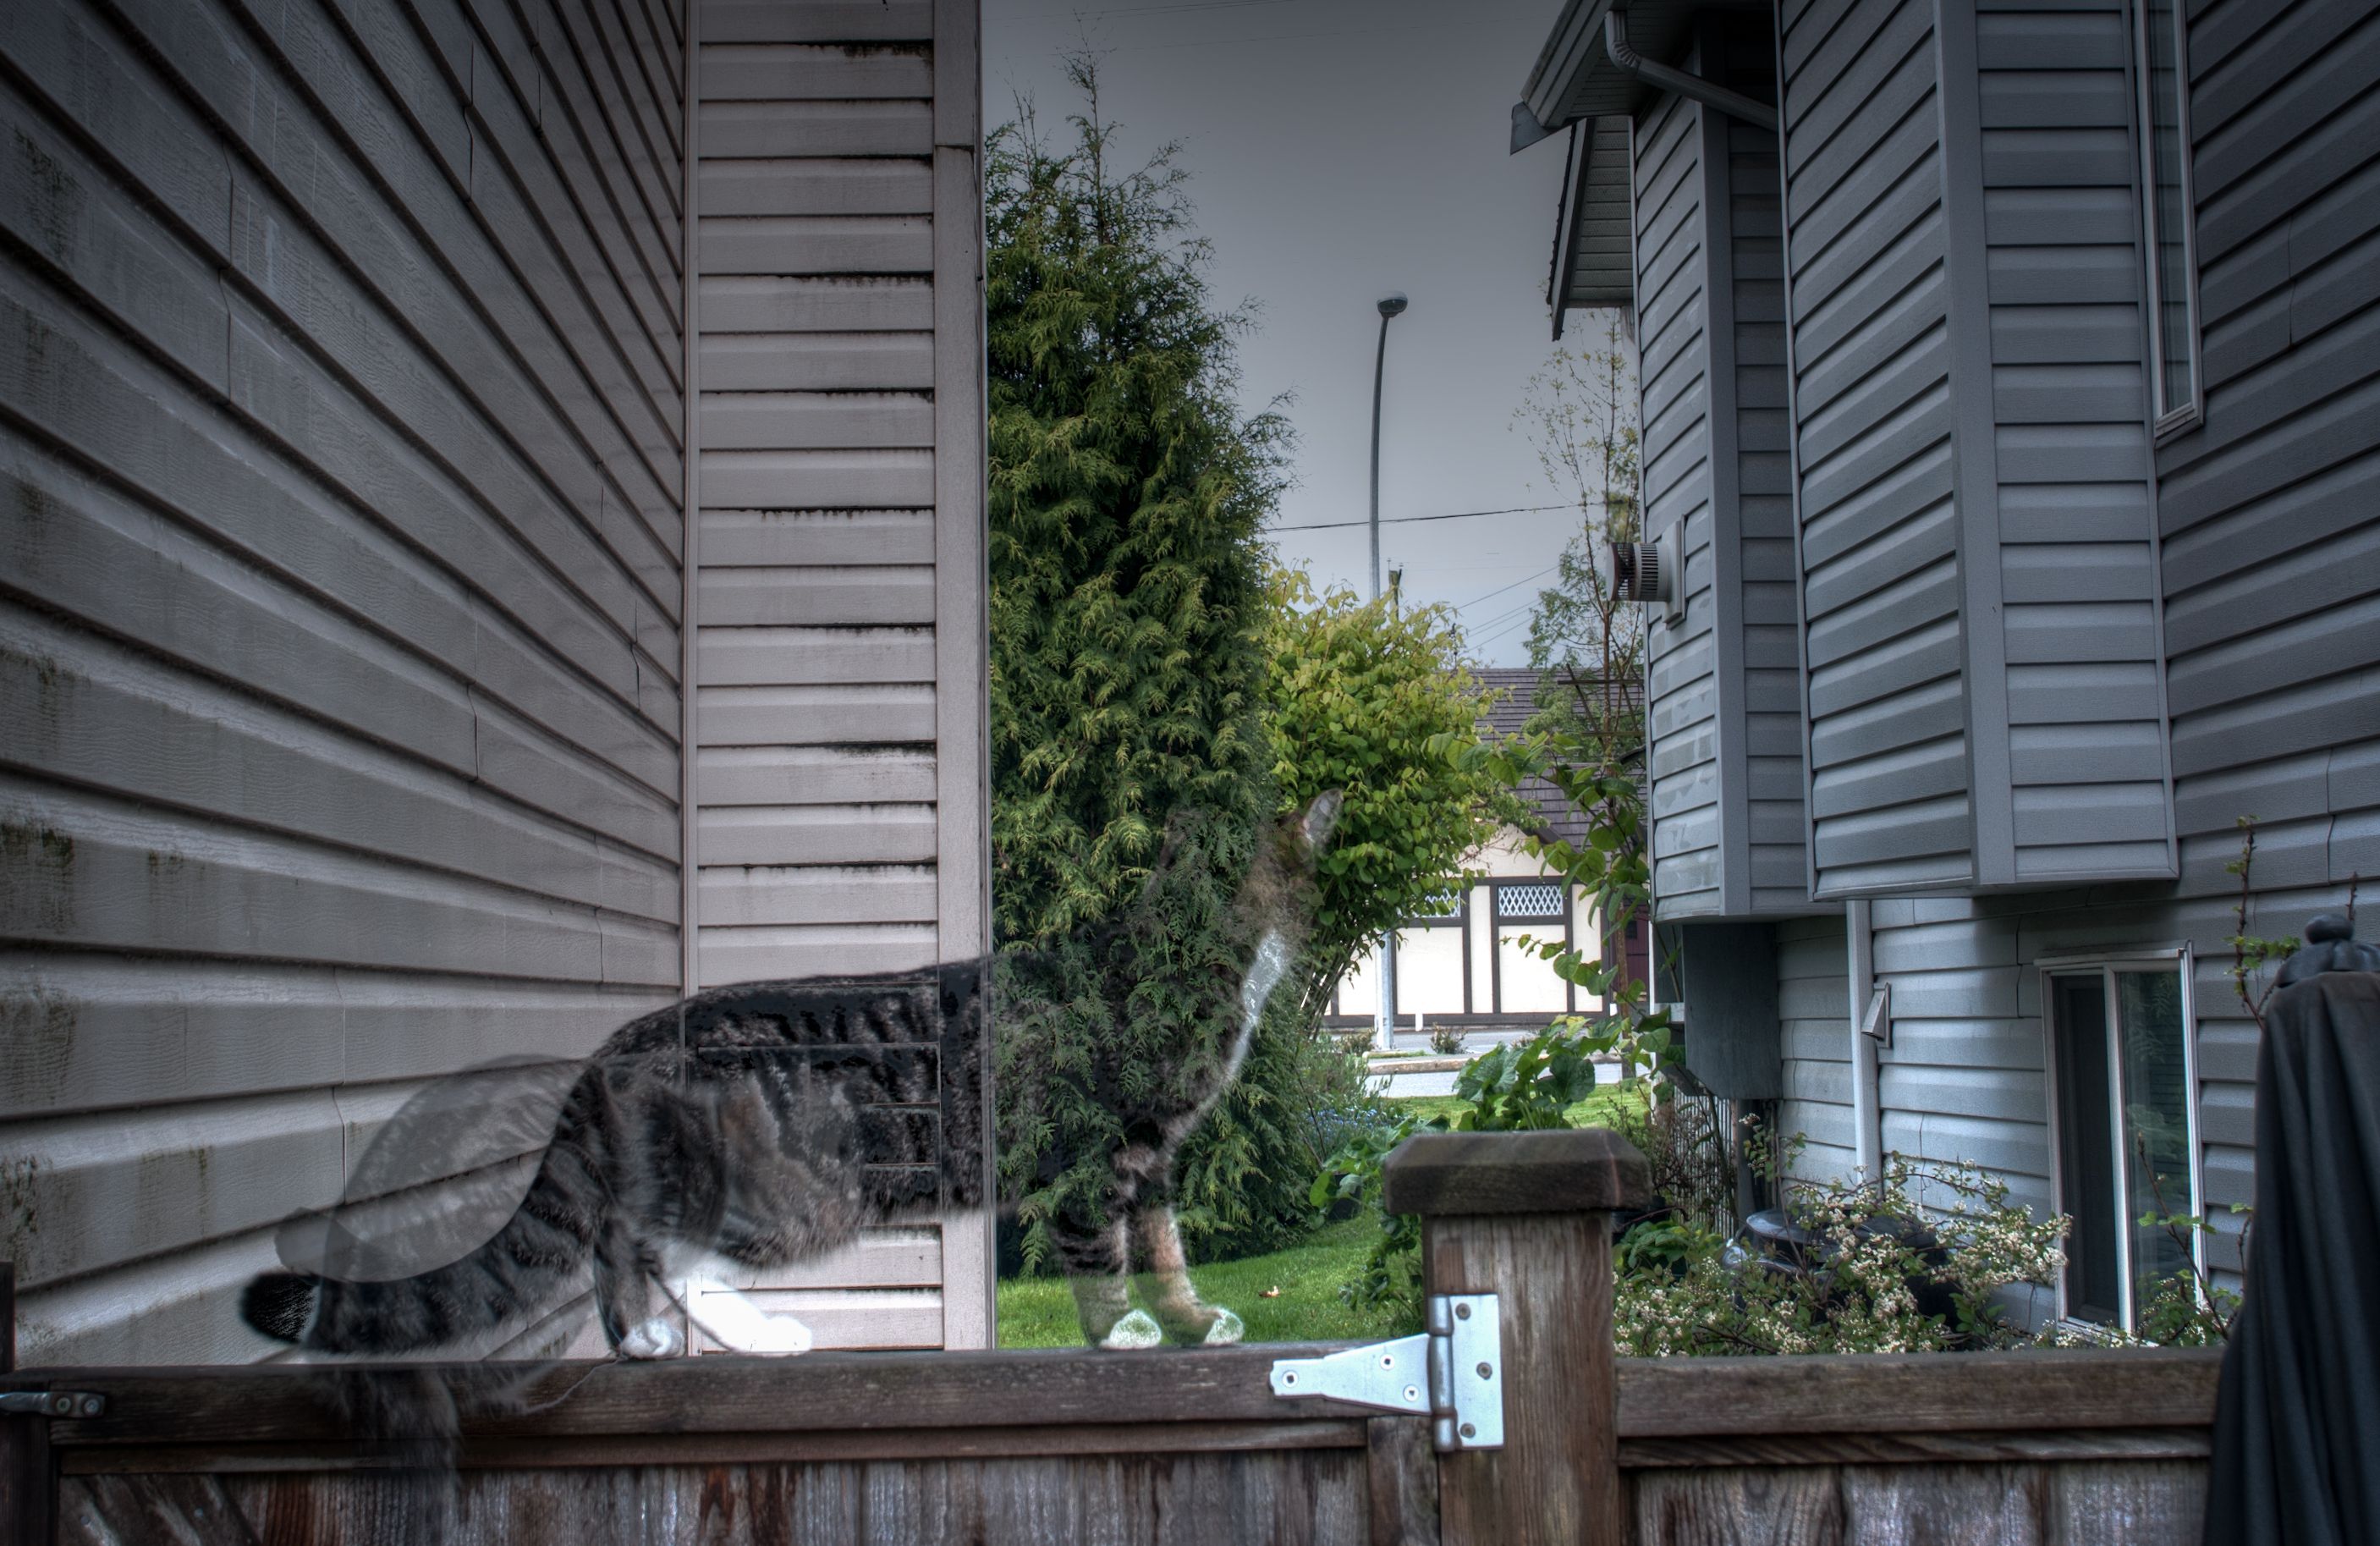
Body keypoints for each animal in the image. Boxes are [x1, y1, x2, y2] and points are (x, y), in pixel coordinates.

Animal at [250, 790, 1351, 1352]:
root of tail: (621, 1041)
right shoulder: (1092, 1157)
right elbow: (1101, 1254)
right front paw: (1119, 1330)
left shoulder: (1151, 1152)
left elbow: (1166, 1246)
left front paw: (1191, 1321)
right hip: (794, 1195)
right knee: (665, 1249)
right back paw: (762, 1333)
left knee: (621, 1243)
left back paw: (641, 1342)